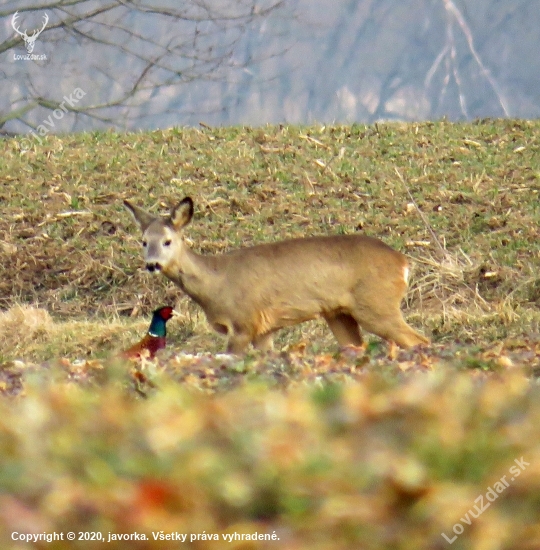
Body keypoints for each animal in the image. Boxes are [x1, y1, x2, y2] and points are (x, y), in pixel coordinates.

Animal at [123, 198, 430, 354]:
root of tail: (403, 262)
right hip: (340, 314)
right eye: (143, 241)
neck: (216, 284)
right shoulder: (264, 330)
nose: (152, 265)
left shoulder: (243, 322)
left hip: (377, 304)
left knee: (419, 340)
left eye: (167, 241)